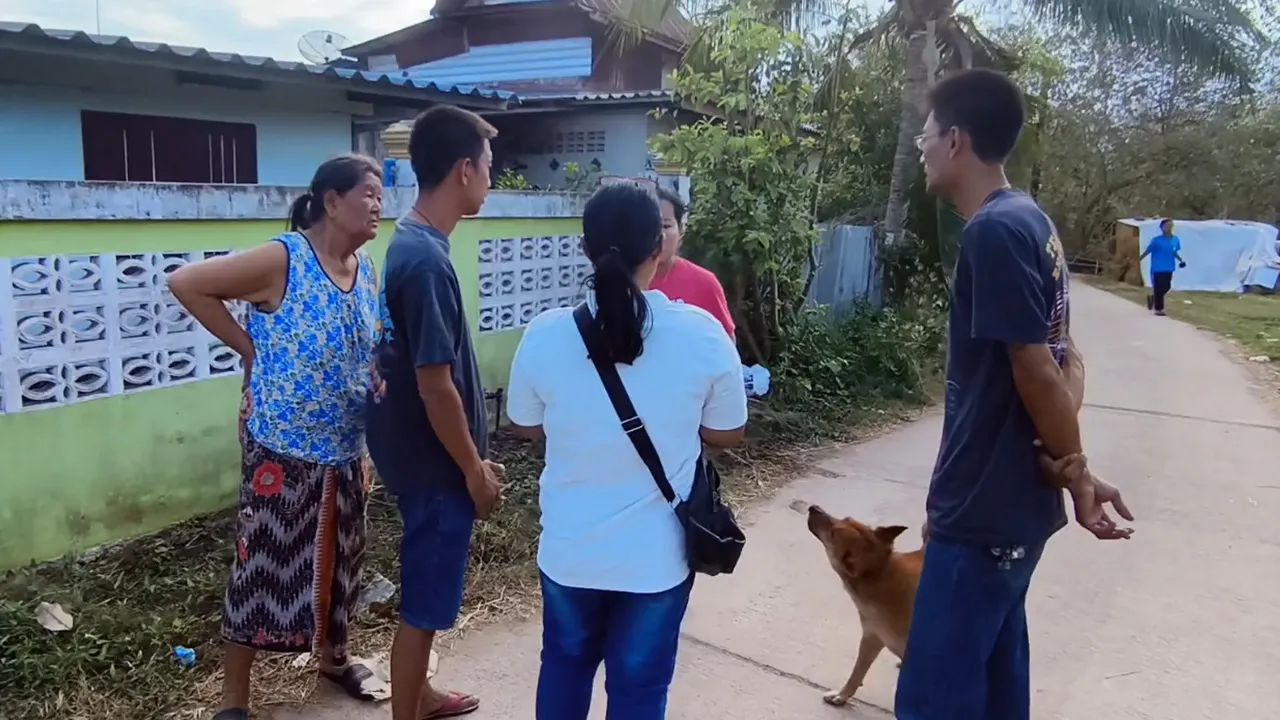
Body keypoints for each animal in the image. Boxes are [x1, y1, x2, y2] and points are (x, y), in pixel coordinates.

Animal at [803, 502, 916, 702]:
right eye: (846, 518)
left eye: (833, 533)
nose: (813, 508)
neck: (878, 573)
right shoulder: (873, 637)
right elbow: (857, 672)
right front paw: (842, 695)